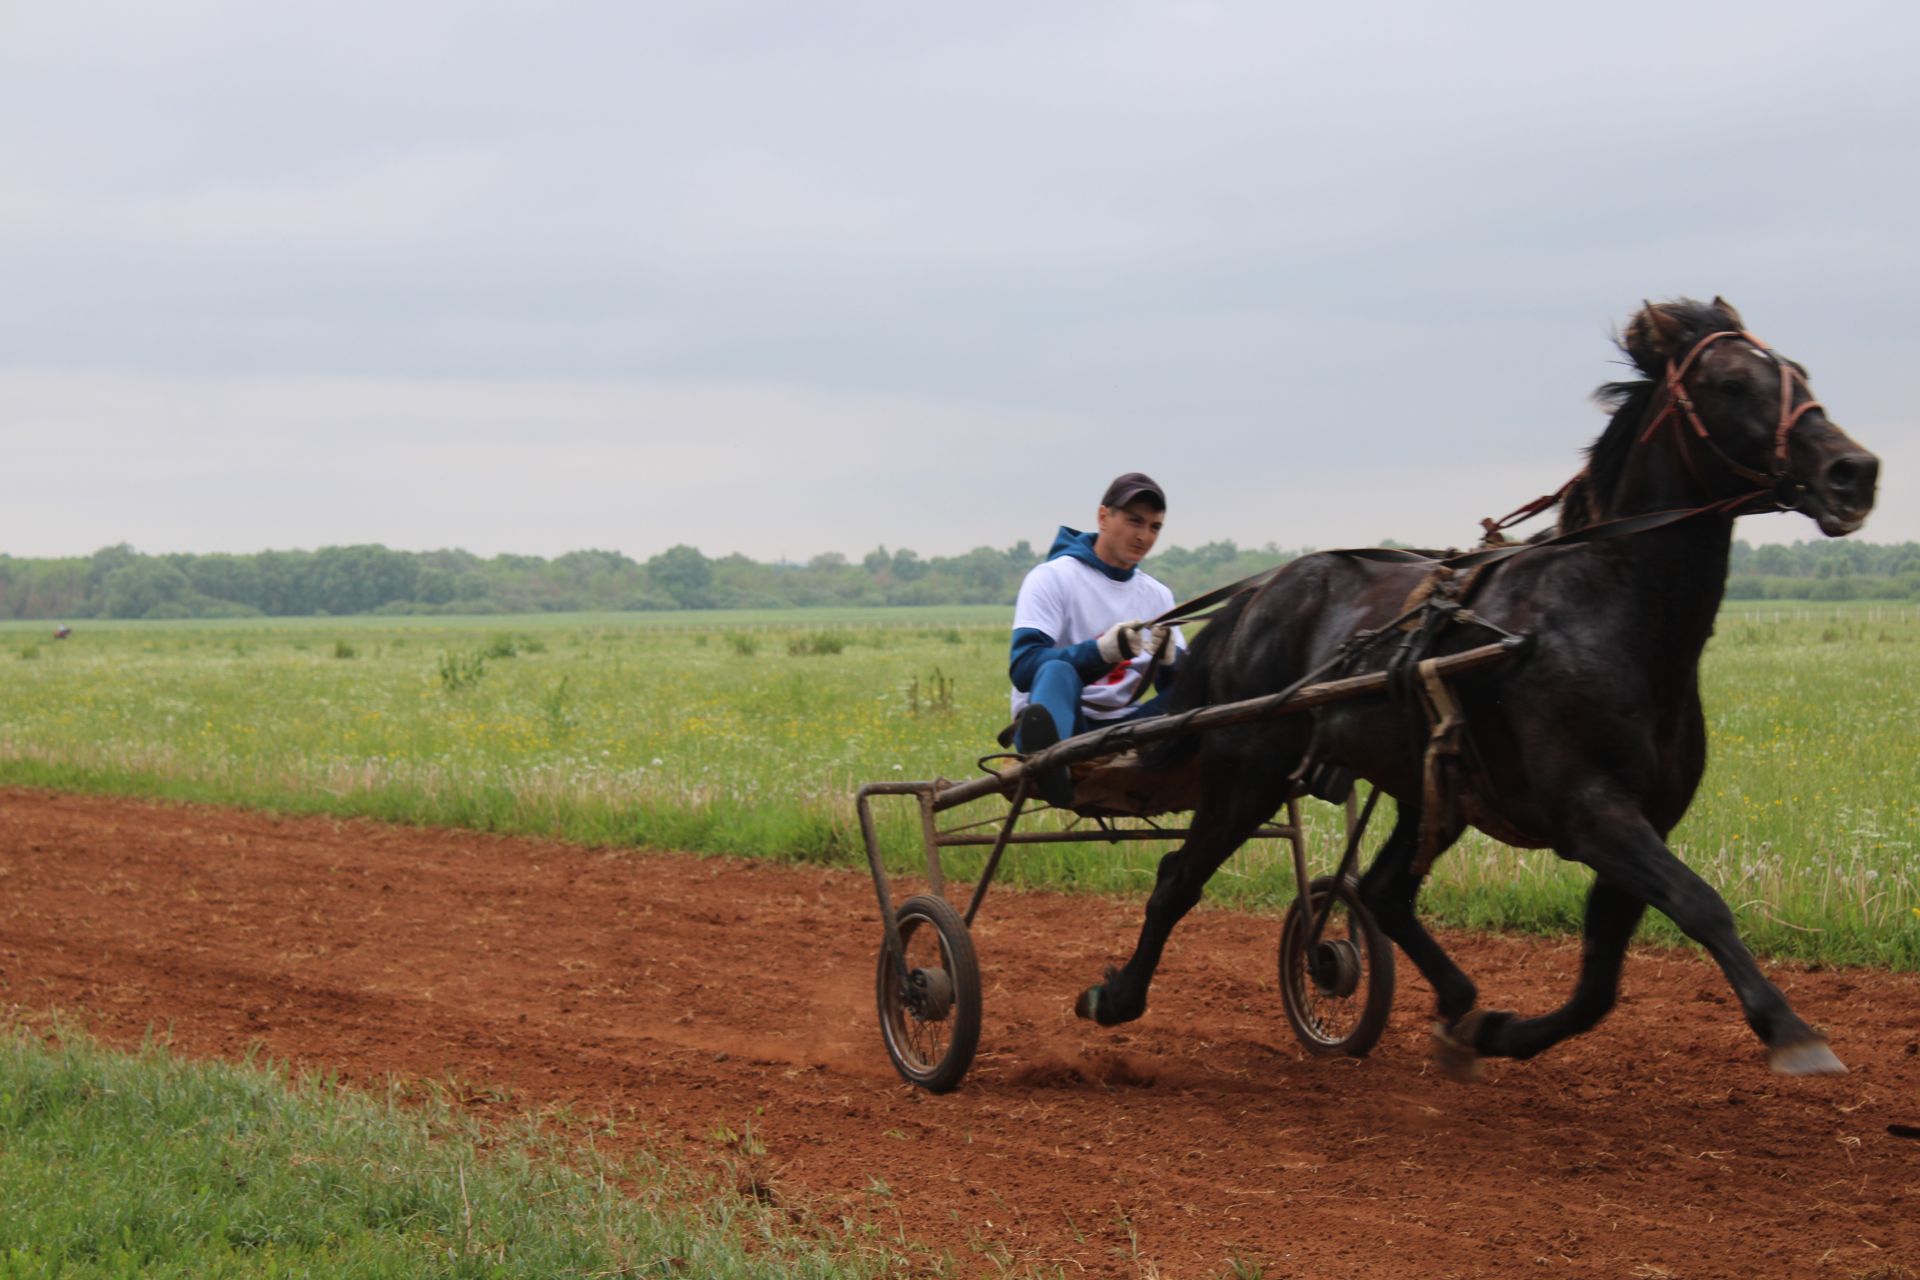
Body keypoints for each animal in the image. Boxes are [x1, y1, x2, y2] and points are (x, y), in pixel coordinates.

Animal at [1075, 297, 1881, 1074]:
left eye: (1800, 373)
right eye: (1733, 384)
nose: (1855, 471)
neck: (1605, 613)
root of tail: (1258, 595)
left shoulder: (1640, 816)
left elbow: (1599, 982)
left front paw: (1499, 1032)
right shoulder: (1592, 813)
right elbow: (1700, 904)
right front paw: (1790, 1029)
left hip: (1427, 783)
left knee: (1381, 893)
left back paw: (1456, 1001)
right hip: (1249, 772)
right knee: (1180, 877)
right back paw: (1115, 996)